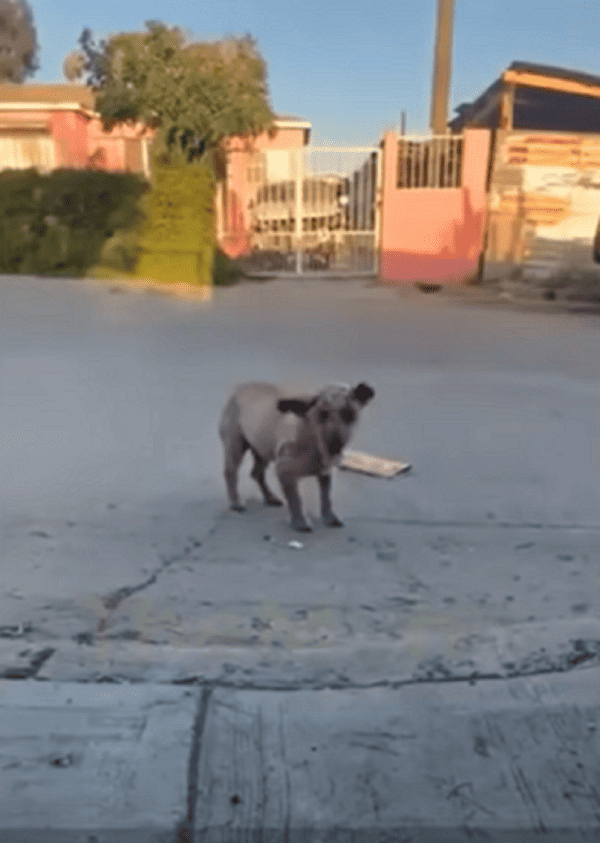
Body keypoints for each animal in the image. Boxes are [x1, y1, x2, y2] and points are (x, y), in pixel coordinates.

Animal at [218, 384, 372, 536]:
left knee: (257, 473)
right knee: (230, 470)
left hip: (263, 449)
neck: (314, 442)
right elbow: (295, 499)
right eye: (322, 415)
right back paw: (236, 501)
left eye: (350, 415)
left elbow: (326, 497)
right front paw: (300, 522)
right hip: (236, 445)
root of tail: (239, 388)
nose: (335, 447)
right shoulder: (284, 472)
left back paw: (270, 497)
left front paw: (329, 517)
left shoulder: (325, 473)